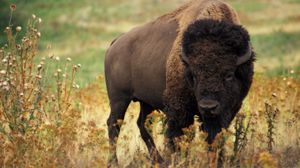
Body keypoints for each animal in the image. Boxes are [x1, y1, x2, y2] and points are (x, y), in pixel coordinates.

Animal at [104, 0, 254, 165]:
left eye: (228, 75)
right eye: (193, 75)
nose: (208, 107)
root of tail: (115, 43)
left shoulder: (228, 110)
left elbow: (214, 137)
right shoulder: (180, 110)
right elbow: (179, 137)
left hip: (146, 102)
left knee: (142, 124)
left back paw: (158, 160)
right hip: (119, 99)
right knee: (114, 125)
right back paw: (114, 162)